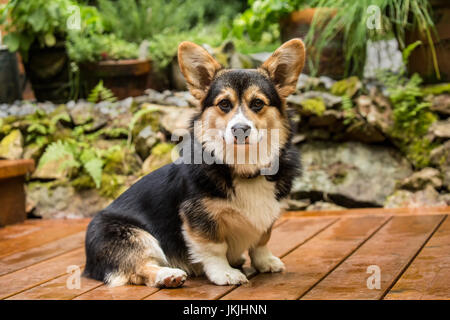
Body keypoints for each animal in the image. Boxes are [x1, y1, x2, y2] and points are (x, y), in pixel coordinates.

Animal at [83, 38, 306, 288]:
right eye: (224, 104)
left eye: (257, 103)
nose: (240, 129)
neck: (243, 166)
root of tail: (88, 265)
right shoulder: (200, 218)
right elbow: (214, 248)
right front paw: (224, 273)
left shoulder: (267, 217)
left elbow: (261, 240)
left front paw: (265, 262)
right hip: (134, 235)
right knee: (139, 268)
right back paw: (167, 275)